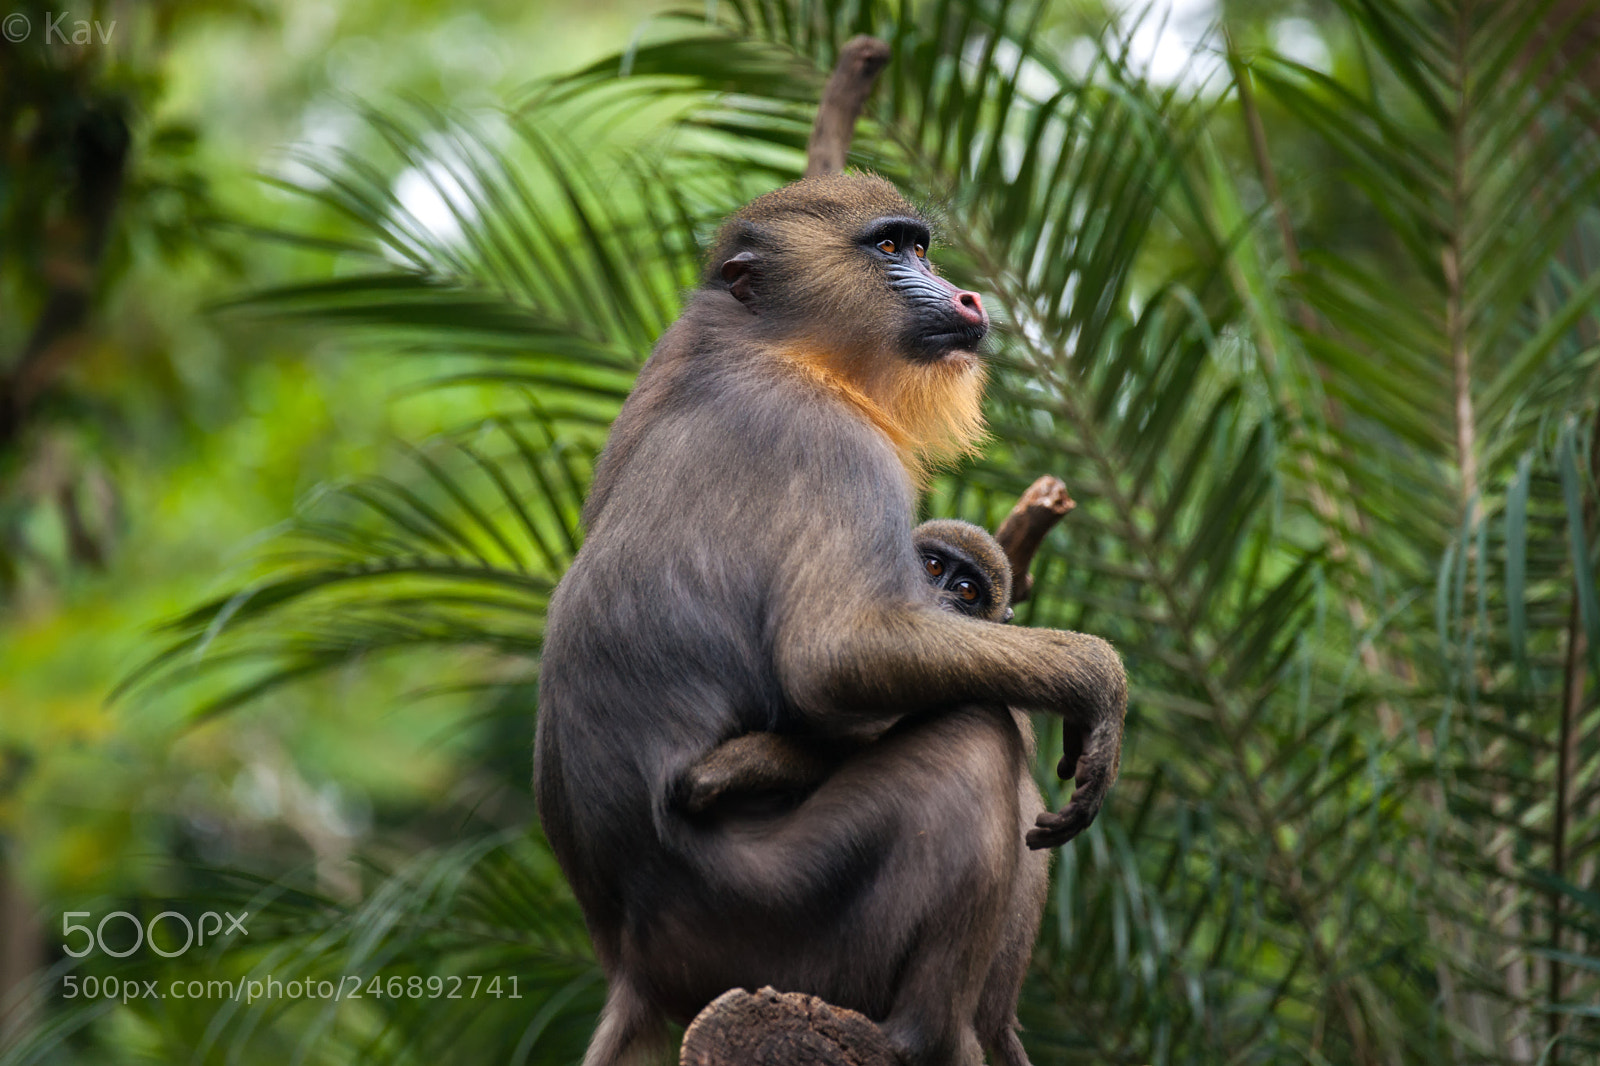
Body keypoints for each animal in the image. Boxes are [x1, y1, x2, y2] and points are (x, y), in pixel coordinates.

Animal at [534, 173, 1127, 1066]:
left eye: (920, 247)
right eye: (888, 248)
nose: (967, 296)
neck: (763, 345)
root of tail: (631, 966)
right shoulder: (831, 441)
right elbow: (835, 656)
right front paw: (1096, 679)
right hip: (781, 925)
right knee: (977, 735)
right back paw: (931, 1036)